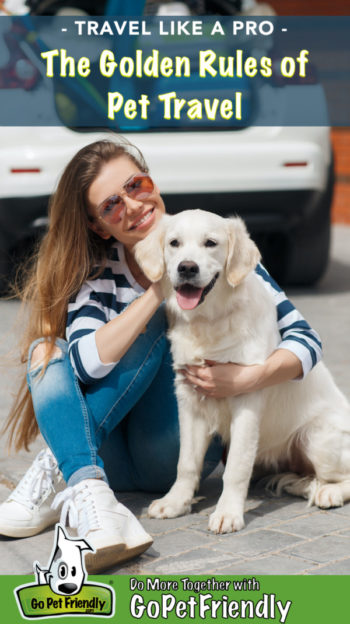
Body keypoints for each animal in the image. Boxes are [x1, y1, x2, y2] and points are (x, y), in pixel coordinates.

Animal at [135, 212, 350, 532]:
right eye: (174, 243)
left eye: (210, 243)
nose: (187, 267)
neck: (210, 321)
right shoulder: (189, 400)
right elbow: (186, 462)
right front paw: (175, 502)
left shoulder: (246, 399)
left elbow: (236, 467)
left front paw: (228, 513)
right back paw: (299, 484)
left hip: (318, 439)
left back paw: (328, 492)